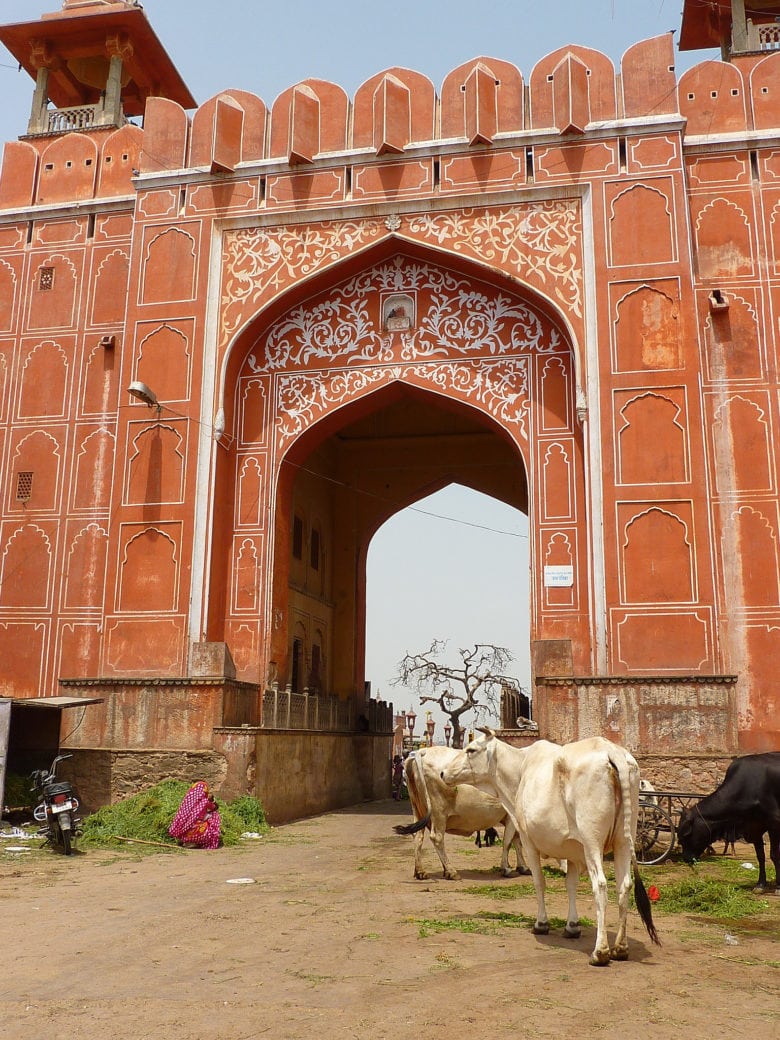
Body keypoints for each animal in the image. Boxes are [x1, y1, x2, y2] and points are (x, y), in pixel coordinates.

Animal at [391, 744, 532, 881]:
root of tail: (424, 751)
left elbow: (517, 841)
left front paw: (523, 867)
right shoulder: (511, 817)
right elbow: (508, 842)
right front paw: (506, 868)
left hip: (418, 809)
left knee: (418, 837)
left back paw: (421, 871)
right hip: (439, 812)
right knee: (437, 838)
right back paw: (451, 871)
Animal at [440, 732, 661, 965]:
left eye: (471, 749)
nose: (443, 772)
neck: (520, 769)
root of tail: (611, 751)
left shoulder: (529, 842)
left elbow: (539, 882)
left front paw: (541, 924)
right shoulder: (573, 850)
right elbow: (571, 885)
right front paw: (572, 926)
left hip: (592, 841)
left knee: (600, 885)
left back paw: (600, 952)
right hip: (624, 842)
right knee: (624, 885)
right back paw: (620, 947)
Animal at [678, 748, 780, 894]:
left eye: (685, 836)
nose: (686, 859)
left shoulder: (774, 823)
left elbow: (774, 855)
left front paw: (778, 886)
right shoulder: (754, 828)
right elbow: (760, 856)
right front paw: (760, 884)